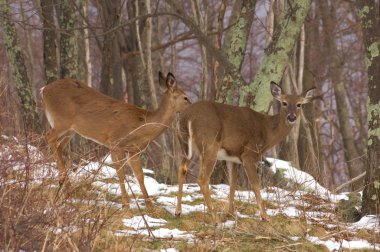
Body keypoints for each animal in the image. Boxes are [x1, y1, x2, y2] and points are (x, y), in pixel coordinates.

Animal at [41, 72, 190, 208]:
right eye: (185, 97)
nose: (192, 106)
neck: (141, 125)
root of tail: (44, 90)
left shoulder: (134, 151)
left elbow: (140, 175)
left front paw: (149, 204)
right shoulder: (115, 142)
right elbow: (121, 173)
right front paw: (126, 203)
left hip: (71, 130)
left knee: (59, 146)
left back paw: (66, 185)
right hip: (61, 121)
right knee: (49, 136)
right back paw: (65, 183)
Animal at [176, 81, 318, 221]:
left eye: (299, 104)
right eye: (284, 103)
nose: (292, 117)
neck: (267, 132)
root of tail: (186, 117)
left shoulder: (232, 157)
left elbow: (233, 183)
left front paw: (230, 213)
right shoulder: (249, 154)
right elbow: (255, 184)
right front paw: (265, 216)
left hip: (187, 146)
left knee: (182, 168)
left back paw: (178, 212)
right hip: (210, 145)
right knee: (202, 179)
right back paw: (215, 219)